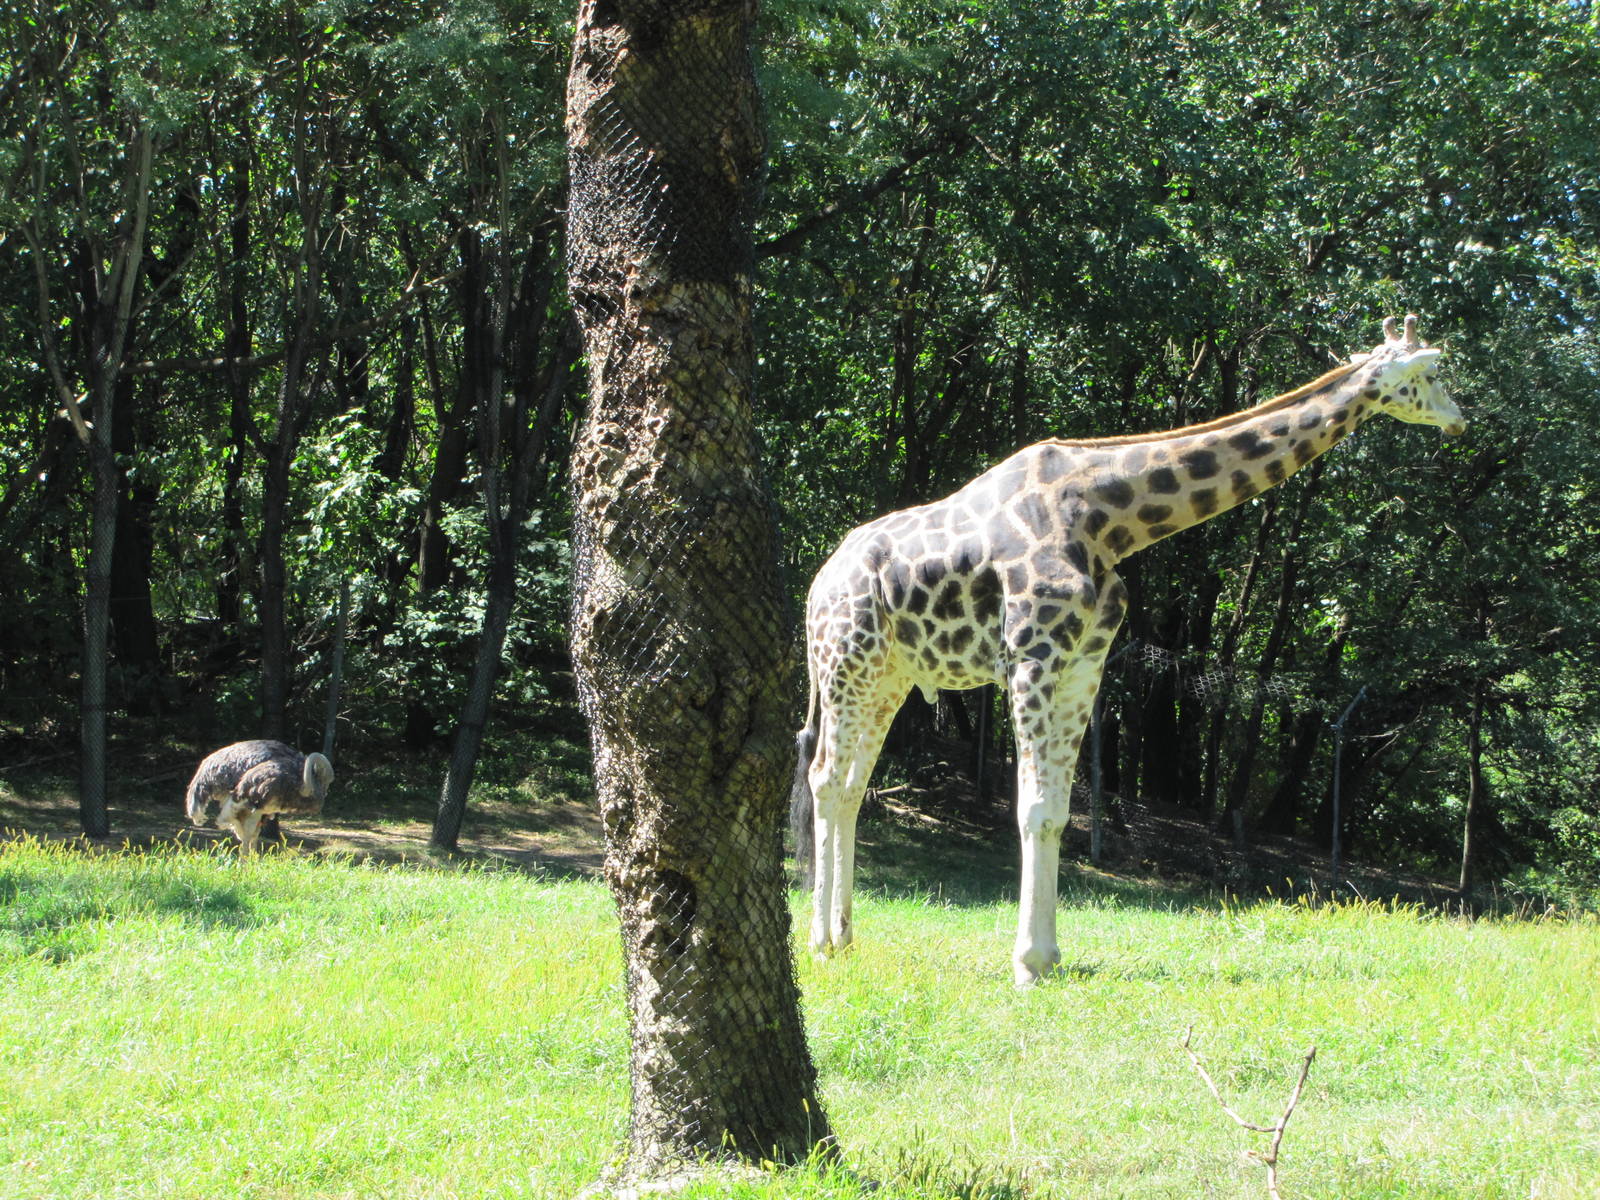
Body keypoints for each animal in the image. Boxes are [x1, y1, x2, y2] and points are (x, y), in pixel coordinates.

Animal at [792, 315, 1464, 985]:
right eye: (1431, 372)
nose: (1458, 420)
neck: (1106, 518)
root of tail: (815, 589)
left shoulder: (1084, 663)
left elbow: (1059, 812)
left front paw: (1049, 955)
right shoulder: (1031, 655)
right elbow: (1031, 806)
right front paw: (1027, 964)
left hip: (888, 678)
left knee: (851, 784)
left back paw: (846, 936)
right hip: (845, 666)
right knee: (824, 777)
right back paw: (820, 940)